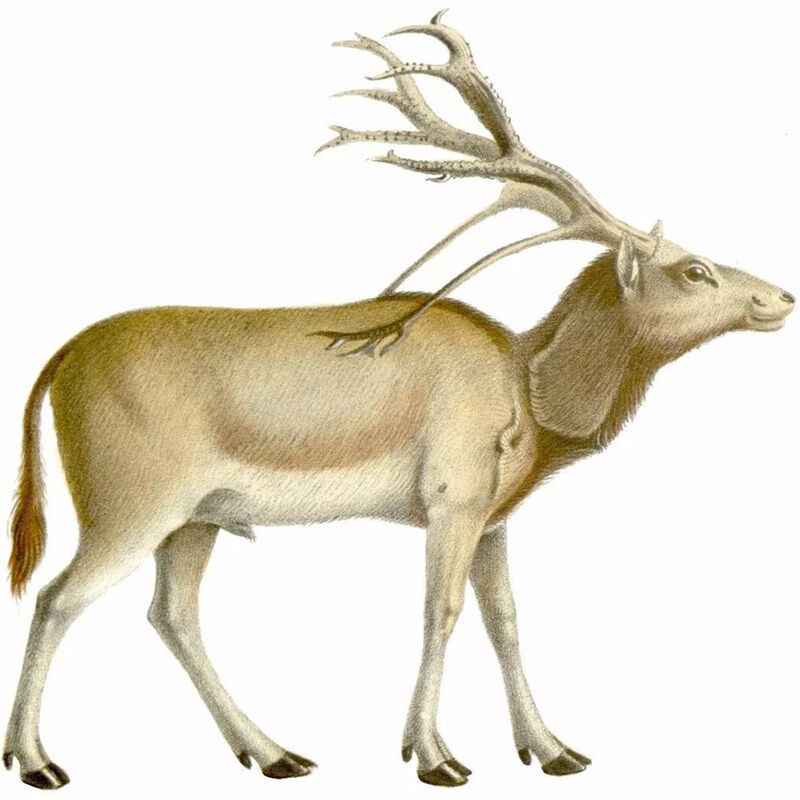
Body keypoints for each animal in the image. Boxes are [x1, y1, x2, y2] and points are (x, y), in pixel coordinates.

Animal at [3, 10, 794, 792]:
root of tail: (59, 361)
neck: (528, 388)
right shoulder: (452, 498)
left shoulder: (494, 517)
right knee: (55, 597)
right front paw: (435, 756)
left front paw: (553, 749)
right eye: (694, 269)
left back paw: (274, 752)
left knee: (171, 613)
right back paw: (38, 761)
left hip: (195, 518)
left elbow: (506, 620)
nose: (780, 297)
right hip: (131, 506)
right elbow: (439, 613)